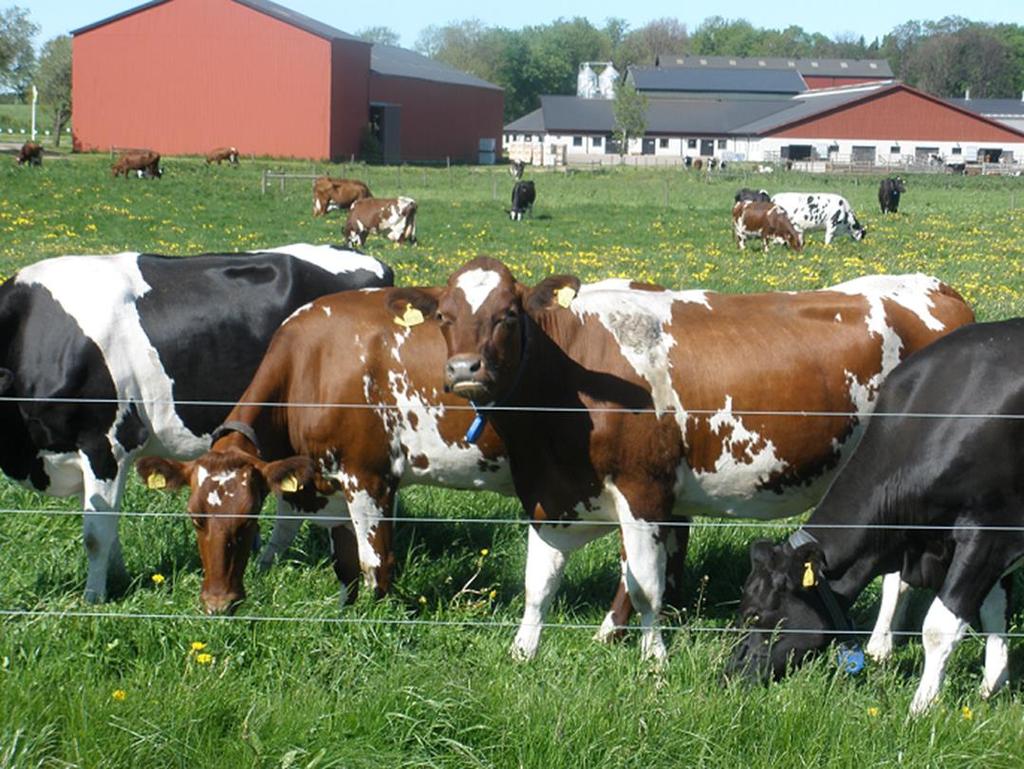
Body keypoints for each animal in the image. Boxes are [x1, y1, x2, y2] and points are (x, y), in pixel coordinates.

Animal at [0, 243, 391, 606]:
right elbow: (108, 526)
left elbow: (96, 534)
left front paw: (94, 599)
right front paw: (120, 578)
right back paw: (265, 565)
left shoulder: (107, 443)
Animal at [134, 286, 688, 622]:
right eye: (196, 518)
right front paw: (343, 611)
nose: (217, 603)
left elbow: (376, 563)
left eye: (248, 520)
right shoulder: (329, 482)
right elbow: (345, 564)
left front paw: (374, 621)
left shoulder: (369, 477)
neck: (309, 363)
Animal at [393, 257, 974, 663]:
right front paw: (523, 651)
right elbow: (540, 584)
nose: (464, 369)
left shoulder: (644, 490)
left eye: (508, 316)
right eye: (444, 316)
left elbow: (647, 585)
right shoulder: (553, 495)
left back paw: (880, 644)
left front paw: (655, 659)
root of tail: (938, 290)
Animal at [724, 319, 1024, 716]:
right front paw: (993, 684)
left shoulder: (989, 532)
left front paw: (922, 708)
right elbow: (990, 608)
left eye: (755, 615)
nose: (728, 675)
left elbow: (941, 625)